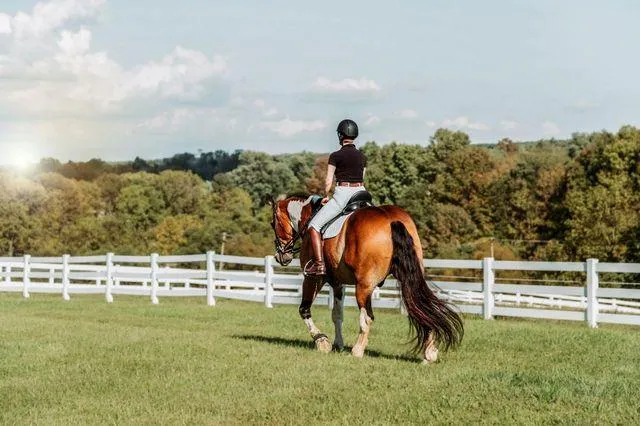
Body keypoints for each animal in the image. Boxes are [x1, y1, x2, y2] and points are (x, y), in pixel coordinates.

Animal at [267, 193, 464, 363]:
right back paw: (429, 353)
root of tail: (390, 219)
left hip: (364, 286)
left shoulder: (314, 279)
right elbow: (337, 315)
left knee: (367, 317)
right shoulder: (337, 283)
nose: (280, 256)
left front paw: (322, 341)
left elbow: (304, 310)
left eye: (273, 223)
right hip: (408, 278)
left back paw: (357, 350)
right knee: (421, 306)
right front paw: (338, 343)